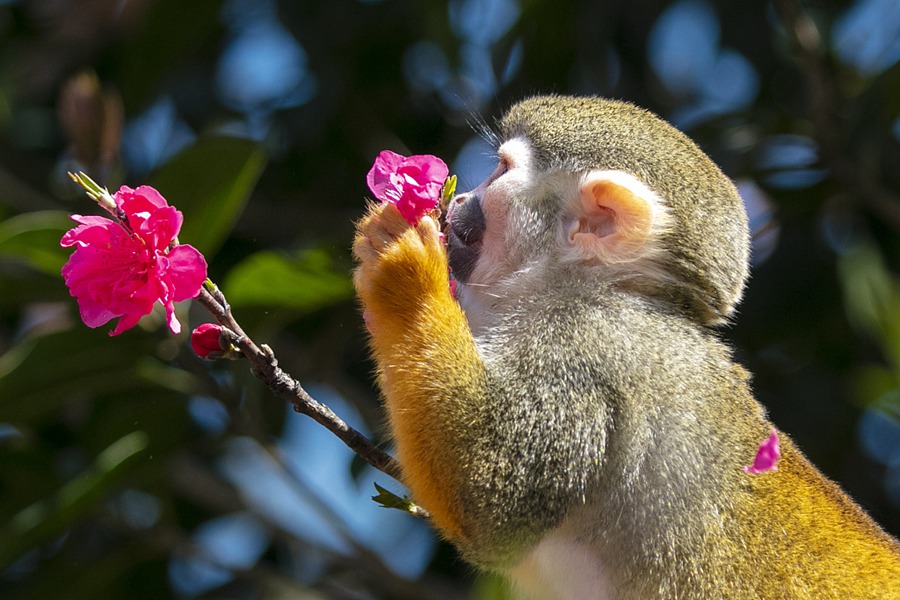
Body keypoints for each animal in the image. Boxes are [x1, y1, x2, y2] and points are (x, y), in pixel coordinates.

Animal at [352, 96, 900, 596]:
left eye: (501, 171)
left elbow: (486, 494)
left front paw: (405, 270)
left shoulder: (585, 343)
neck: (594, 287)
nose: (462, 198)